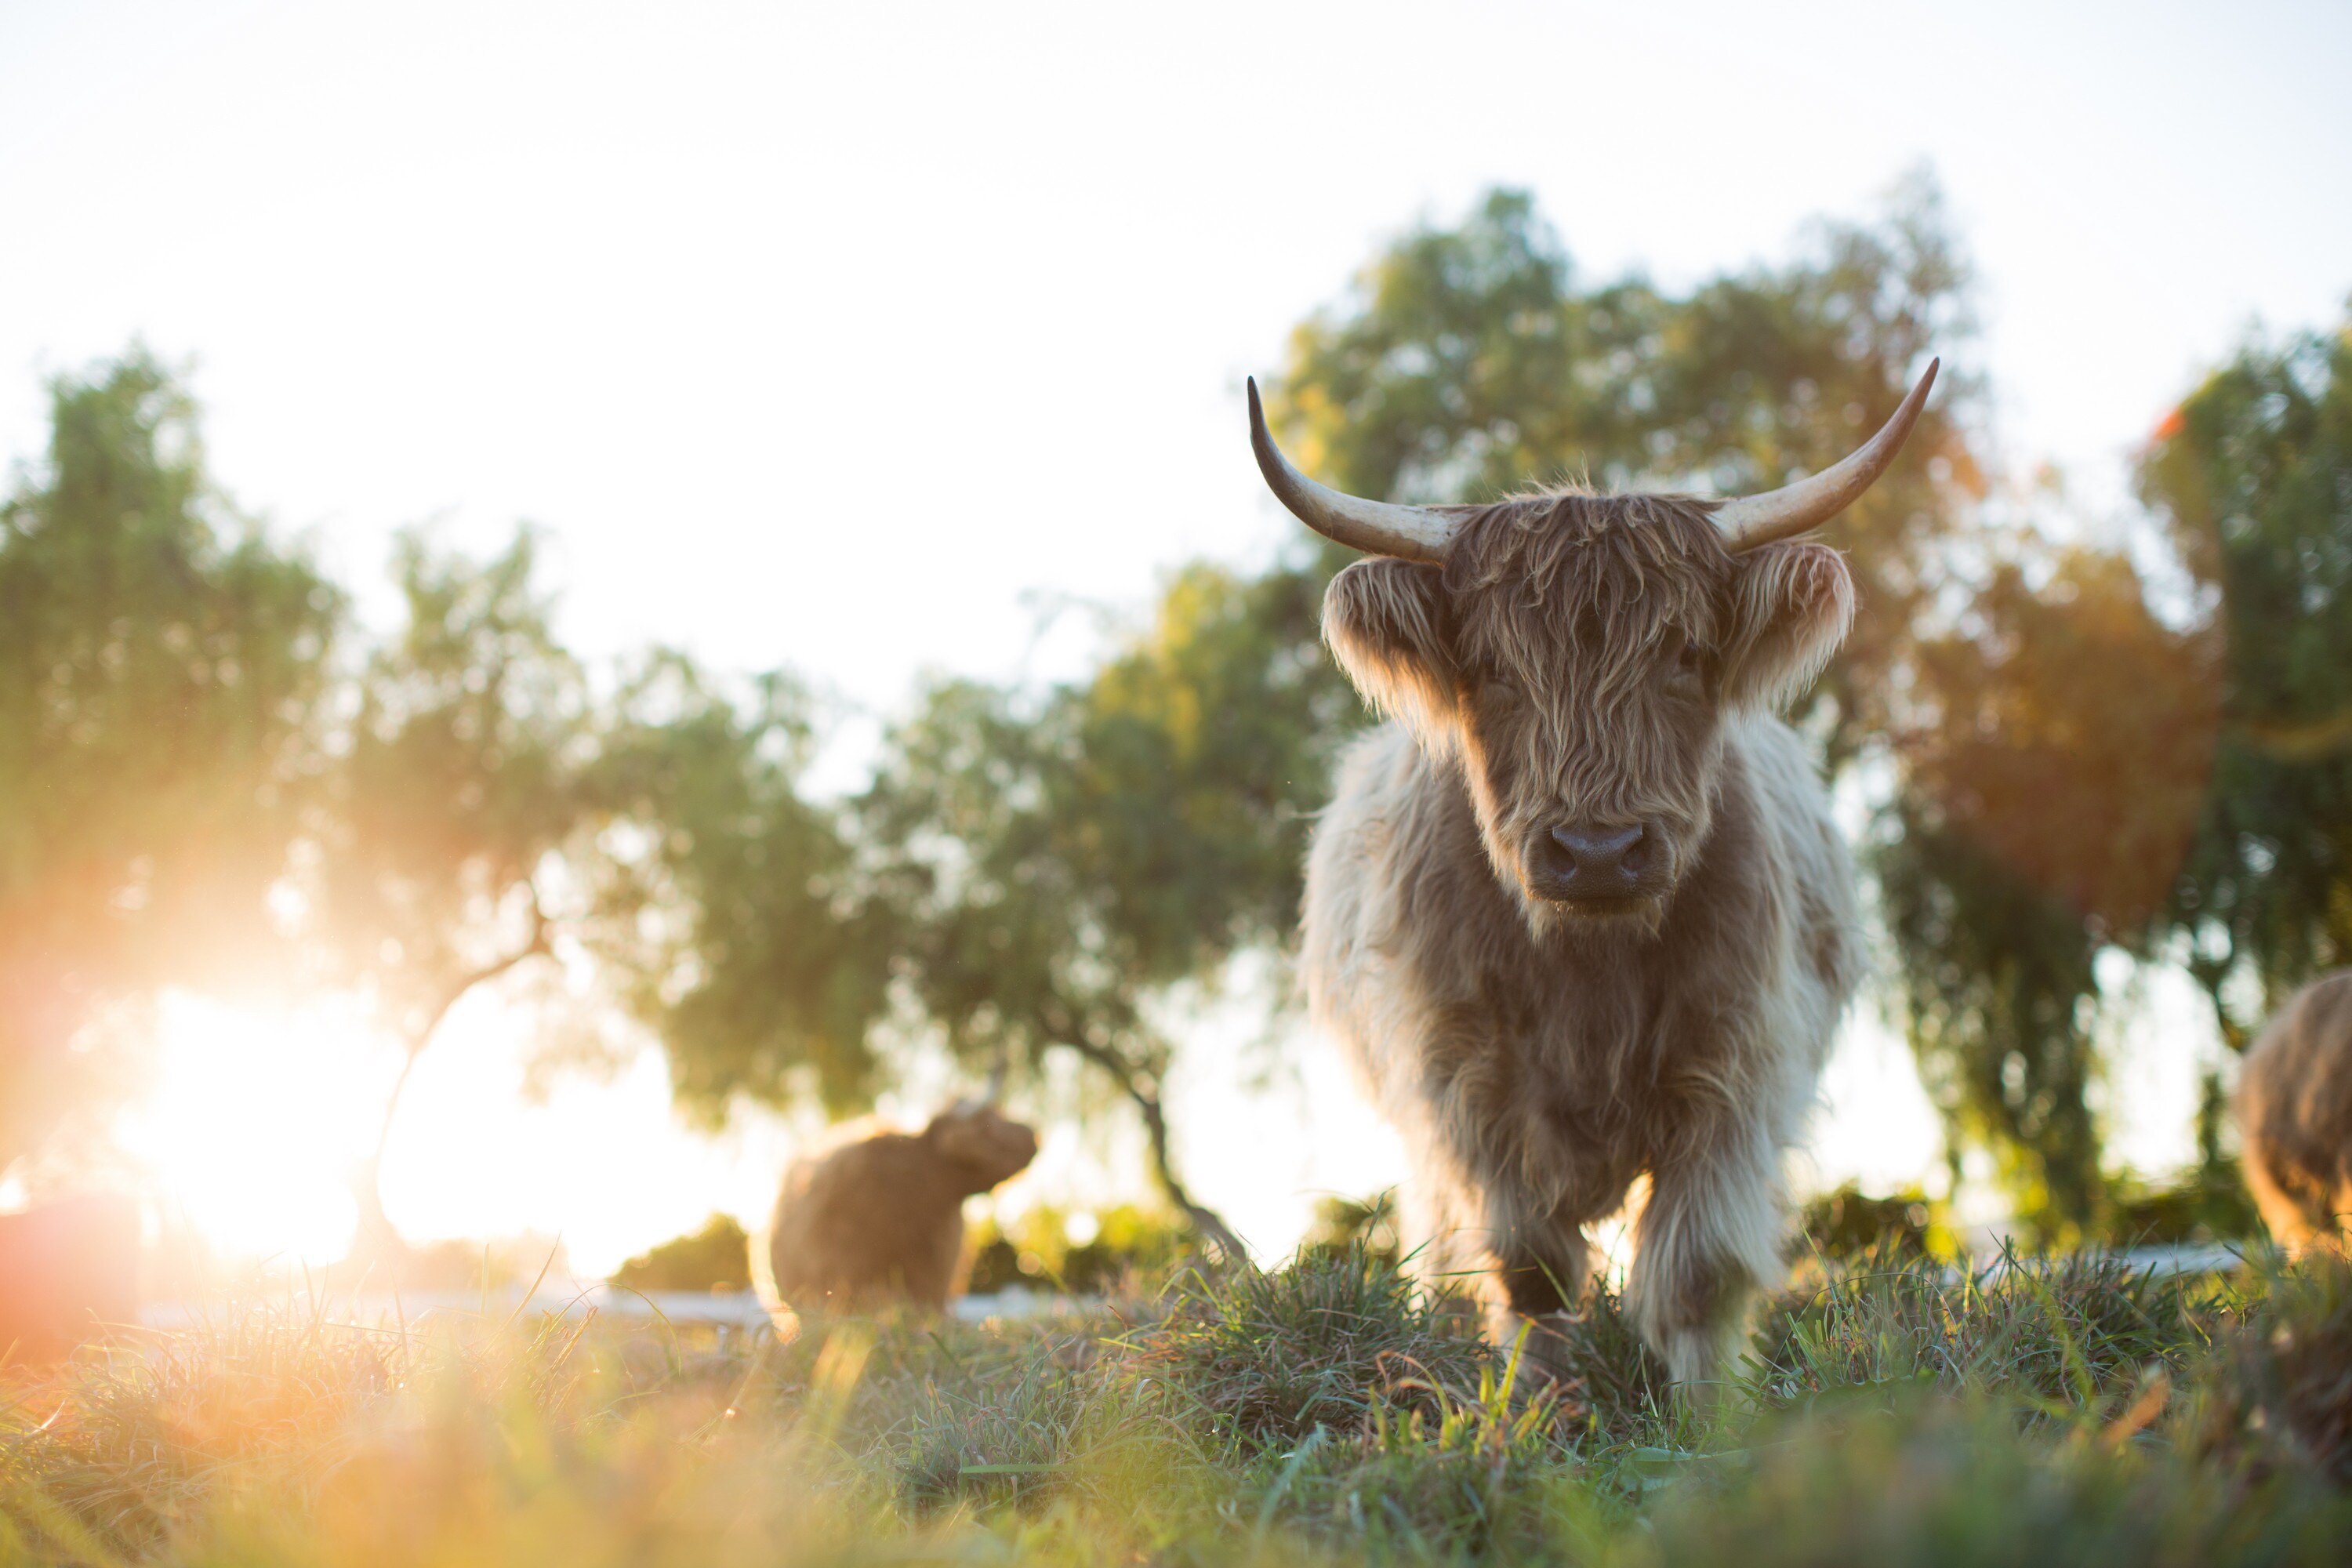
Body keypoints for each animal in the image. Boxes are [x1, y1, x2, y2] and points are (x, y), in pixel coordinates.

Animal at [1251, 361, 1929, 1382]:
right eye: (1494, 666)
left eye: (1686, 654)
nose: (1598, 852)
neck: (1588, 969)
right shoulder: (1463, 1080)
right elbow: (1529, 1269)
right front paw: (1537, 1405)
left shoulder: (1738, 1065)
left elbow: (1697, 1271)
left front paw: (1704, 1409)